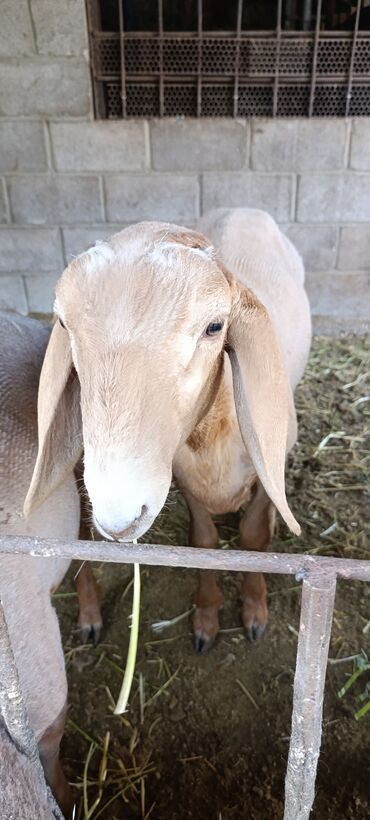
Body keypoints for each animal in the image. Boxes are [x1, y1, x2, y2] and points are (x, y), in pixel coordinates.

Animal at [24, 210, 310, 652]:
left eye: (215, 326)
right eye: (64, 323)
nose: (118, 515)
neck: (214, 434)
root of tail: (244, 210)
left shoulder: (267, 467)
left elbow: (254, 536)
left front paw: (254, 610)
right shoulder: (182, 476)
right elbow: (204, 543)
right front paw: (206, 619)